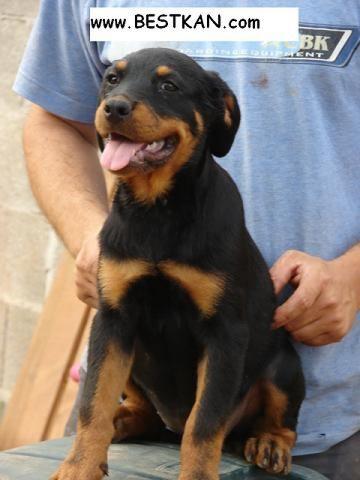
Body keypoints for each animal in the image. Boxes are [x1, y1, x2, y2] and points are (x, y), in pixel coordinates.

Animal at [50, 47, 304, 480]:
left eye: (169, 86)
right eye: (112, 80)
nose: (113, 108)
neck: (158, 209)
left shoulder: (225, 334)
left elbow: (204, 424)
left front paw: (198, 473)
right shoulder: (113, 319)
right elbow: (93, 404)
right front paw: (79, 467)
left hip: (283, 365)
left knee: (280, 420)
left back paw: (269, 443)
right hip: (131, 354)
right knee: (141, 411)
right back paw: (123, 421)